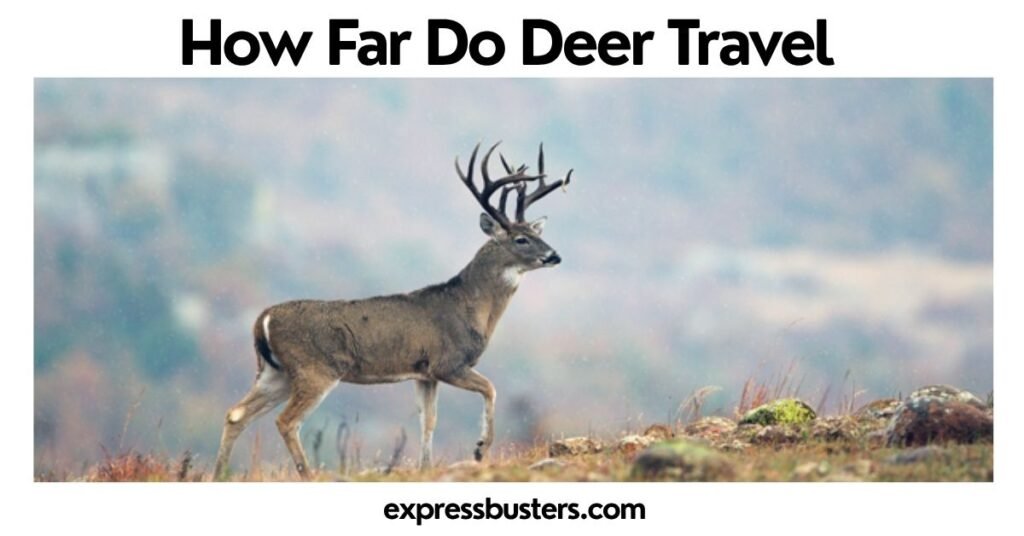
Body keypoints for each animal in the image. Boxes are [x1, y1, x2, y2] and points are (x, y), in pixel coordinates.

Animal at [213, 142, 573, 480]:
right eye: (521, 239)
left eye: (537, 232)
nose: (554, 256)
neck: (471, 307)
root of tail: (263, 320)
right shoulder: (448, 363)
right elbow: (490, 388)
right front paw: (481, 448)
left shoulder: (425, 373)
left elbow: (428, 420)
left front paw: (426, 468)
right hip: (314, 370)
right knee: (286, 421)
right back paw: (308, 475)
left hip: (275, 372)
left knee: (235, 414)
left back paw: (220, 474)